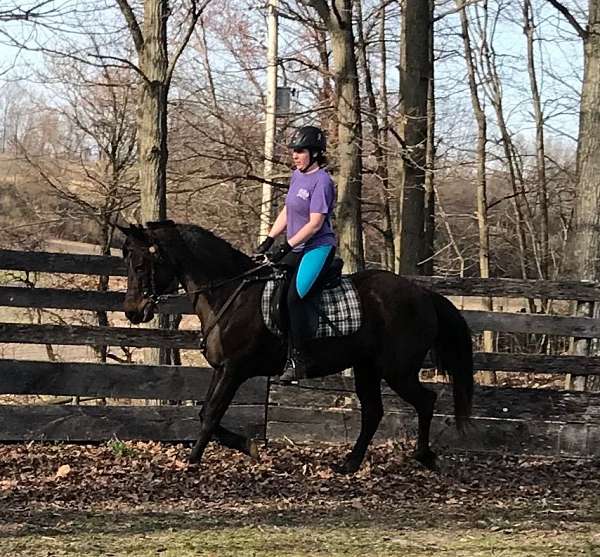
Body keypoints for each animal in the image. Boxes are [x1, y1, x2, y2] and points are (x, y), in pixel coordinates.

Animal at [118, 219, 474, 472]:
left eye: (141, 265)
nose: (132, 311)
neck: (230, 292)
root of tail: (424, 294)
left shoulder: (234, 370)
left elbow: (211, 415)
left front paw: (192, 461)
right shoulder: (221, 369)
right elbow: (207, 413)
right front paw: (248, 446)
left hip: (397, 370)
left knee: (425, 401)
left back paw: (424, 456)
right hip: (367, 368)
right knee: (373, 411)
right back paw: (350, 464)